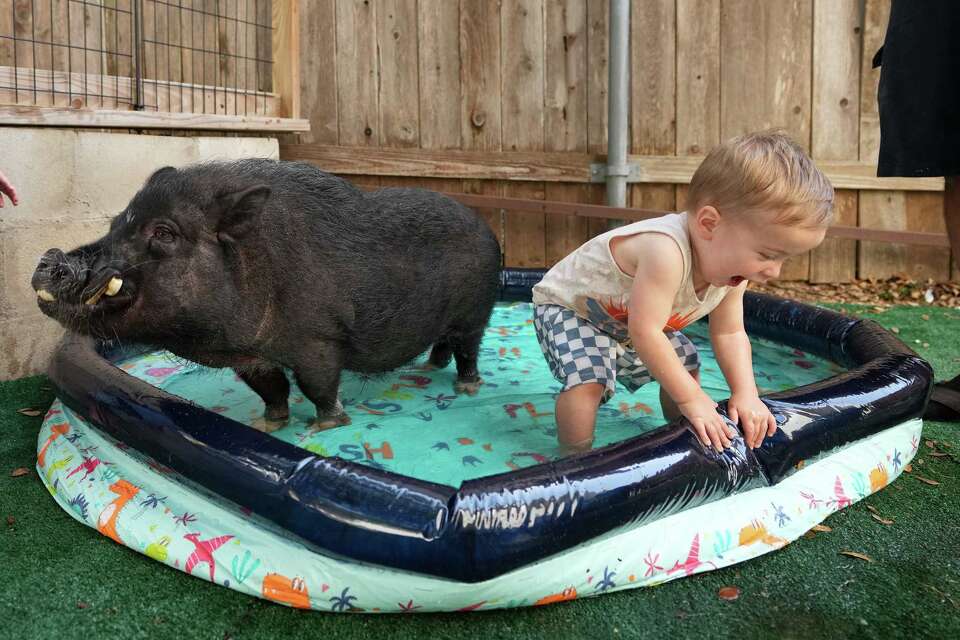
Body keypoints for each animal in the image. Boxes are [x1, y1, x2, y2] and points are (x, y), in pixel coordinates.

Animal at [32, 159, 501, 431]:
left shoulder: (319, 339)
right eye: (115, 223)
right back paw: (429, 366)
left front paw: (325, 426)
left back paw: (467, 388)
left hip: (476, 310)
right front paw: (267, 426)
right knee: (442, 345)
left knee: (468, 349)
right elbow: (271, 388)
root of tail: (487, 229)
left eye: (164, 233)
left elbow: (317, 385)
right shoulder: (251, 357)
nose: (50, 259)